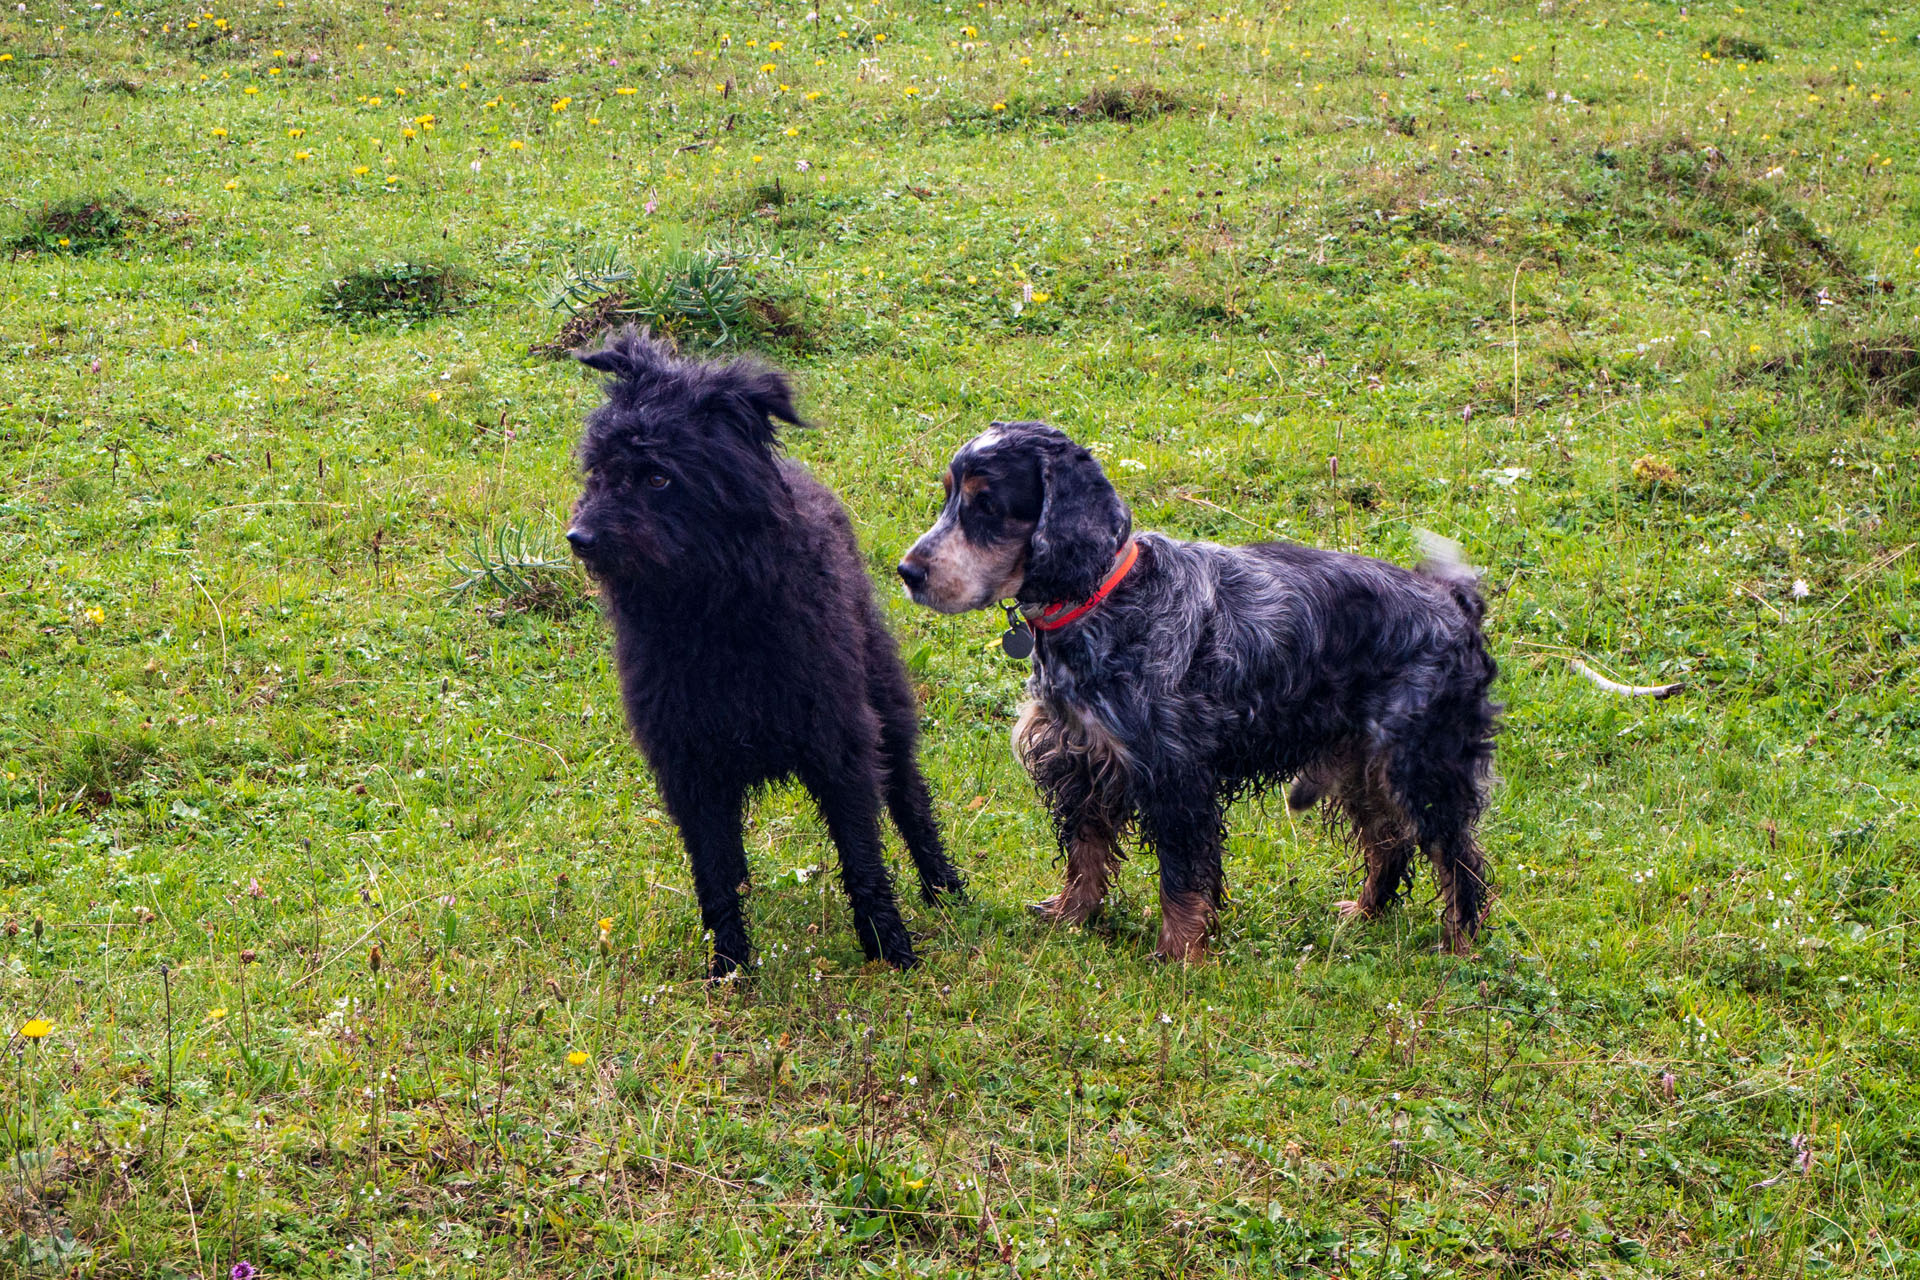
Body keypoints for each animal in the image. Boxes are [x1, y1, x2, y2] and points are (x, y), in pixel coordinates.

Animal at [564, 333, 960, 982]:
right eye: (598, 469)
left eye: (658, 477)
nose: (581, 538)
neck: (711, 614)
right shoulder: (690, 767)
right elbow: (714, 871)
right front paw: (728, 965)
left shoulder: (839, 745)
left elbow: (863, 857)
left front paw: (890, 947)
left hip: (884, 701)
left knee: (910, 798)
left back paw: (945, 888)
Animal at [898, 422, 1497, 959]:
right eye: (949, 498)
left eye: (987, 505)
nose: (907, 571)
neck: (1102, 600)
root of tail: (1453, 600)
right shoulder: (1082, 760)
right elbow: (1085, 855)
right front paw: (1071, 918)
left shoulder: (1175, 776)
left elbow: (1182, 878)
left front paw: (1179, 954)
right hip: (1361, 762)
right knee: (1388, 842)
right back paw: (1366, 913)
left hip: (1422, 764)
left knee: (1459, 859)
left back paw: (1458, 945)